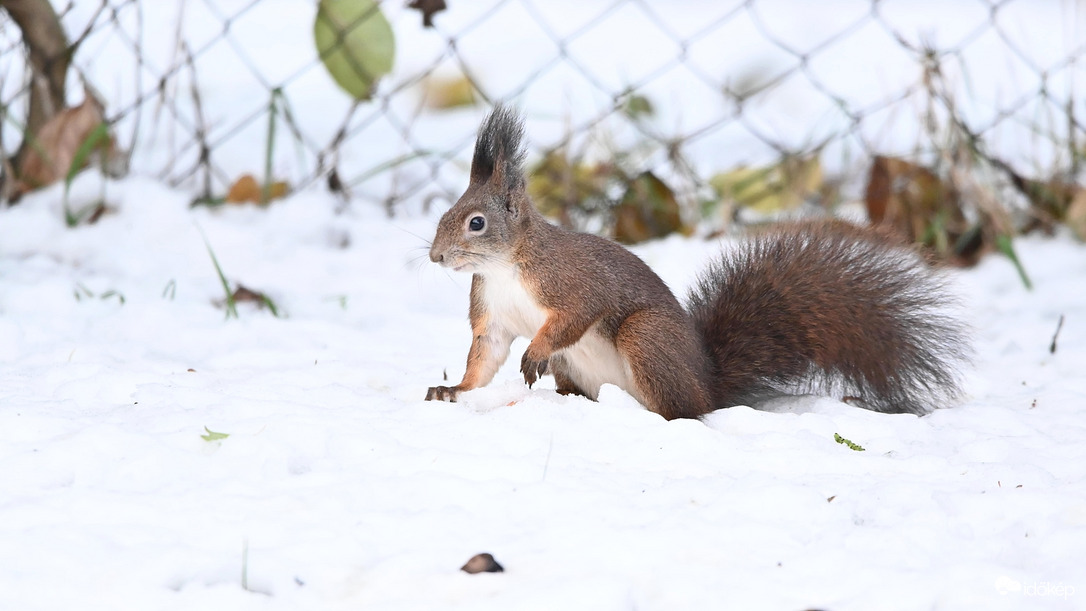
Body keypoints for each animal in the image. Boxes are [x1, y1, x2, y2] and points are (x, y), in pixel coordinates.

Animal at [421, 105, 968, 421]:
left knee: (681, 412)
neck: (505, 268)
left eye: (475, 223)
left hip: (646, 338)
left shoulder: (570, 282)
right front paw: (453, 390)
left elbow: (574, 316)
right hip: (579, 367)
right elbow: (484, 359)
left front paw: (534, 351)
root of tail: (709, 385)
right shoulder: (491, 315)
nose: (435, 256)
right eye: (444, 215)